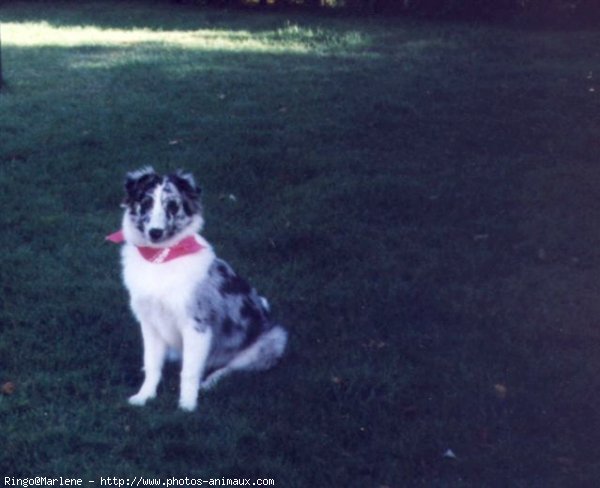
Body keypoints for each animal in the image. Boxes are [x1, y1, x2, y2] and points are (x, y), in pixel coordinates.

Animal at [108, 166, 288, 410]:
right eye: (145, 202)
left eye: (172, 206)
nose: (155, 232)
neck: (161, 258)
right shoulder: (150, 323)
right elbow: (152, 364)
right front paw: (144, 396)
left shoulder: (196, 325)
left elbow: (190, 372)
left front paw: (187, 406)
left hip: (272, 340)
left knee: (231, 368)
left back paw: (210, 382)